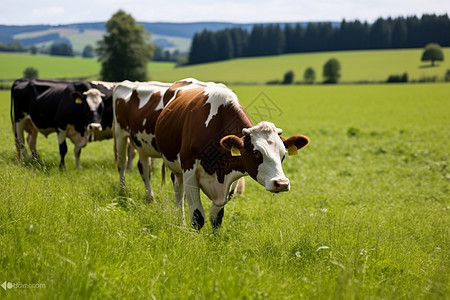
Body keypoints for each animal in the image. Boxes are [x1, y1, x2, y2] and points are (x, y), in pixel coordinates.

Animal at [155, 78, 310, 231]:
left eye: (283, 154)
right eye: (256, 152)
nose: (282, 183)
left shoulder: (231, 177)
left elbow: (216, 218)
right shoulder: (189, 172)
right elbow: (197, 217)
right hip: (176, 168)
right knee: (179, 192)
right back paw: (180, 223)